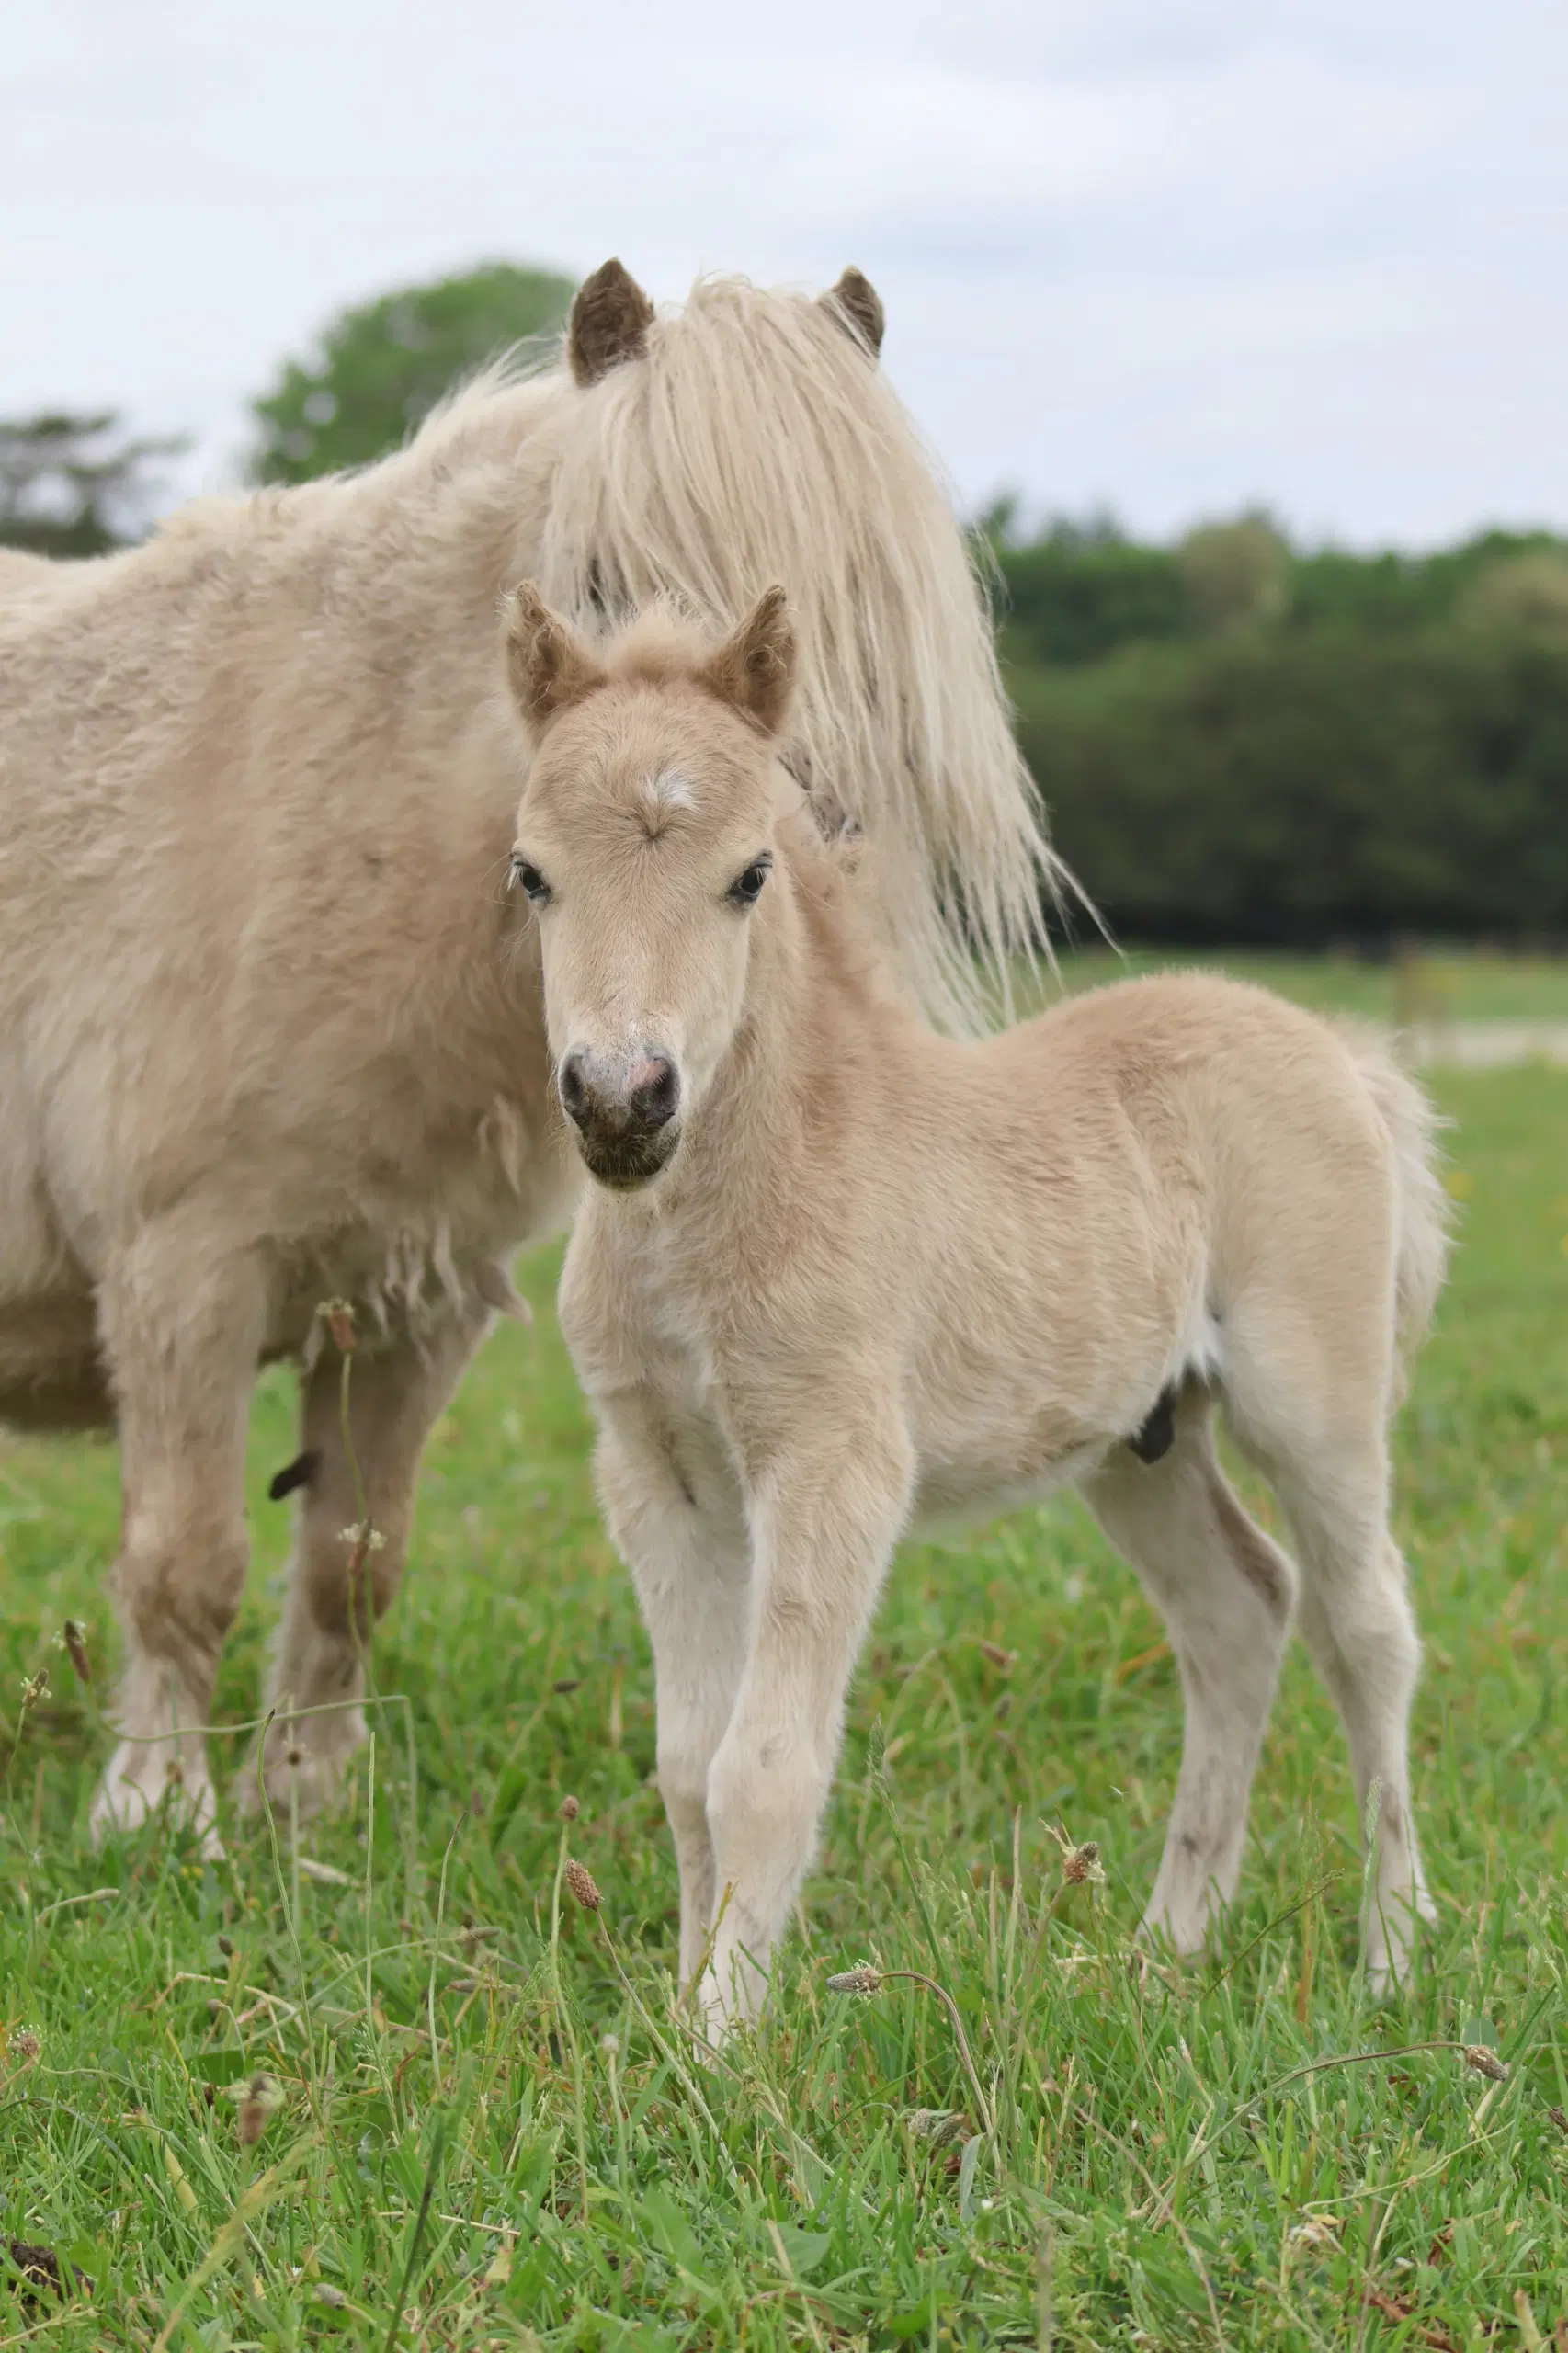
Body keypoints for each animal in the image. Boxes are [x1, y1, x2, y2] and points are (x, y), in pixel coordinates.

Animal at [0, 253, 1054, 1835]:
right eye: (606, 582)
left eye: (859, 598)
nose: (783, 866)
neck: (318, 823)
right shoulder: (178, 1278)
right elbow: (184, 1566)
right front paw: (158, 1810)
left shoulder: (410, 1299)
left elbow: (352, 1565)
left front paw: (304, 1803)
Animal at [506, 583, 1449, 2023]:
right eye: (530, 873)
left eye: (747, 875)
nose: (621, 1101)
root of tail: (1338, 1052)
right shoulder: (654, 1474)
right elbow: (684, 1768)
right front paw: (673, 2010)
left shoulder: (832, 1461)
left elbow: (762, 1767)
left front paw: (721, 2038)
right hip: (1138, 1443)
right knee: (1238, 1613)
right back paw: (1162, 1951)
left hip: (1313, 1405)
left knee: (1365, 1631)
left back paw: (1391, 1956)